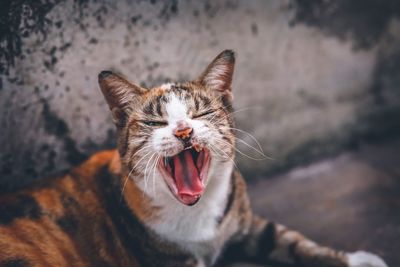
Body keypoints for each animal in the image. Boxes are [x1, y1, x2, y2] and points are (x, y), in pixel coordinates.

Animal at [0, 50, 390, 267]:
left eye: (200, 113)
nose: (184, 130)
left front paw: (358, 260)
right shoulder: (168, 260)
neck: (196, 216)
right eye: (155, 122)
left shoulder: (243, 219)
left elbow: (289, 239)